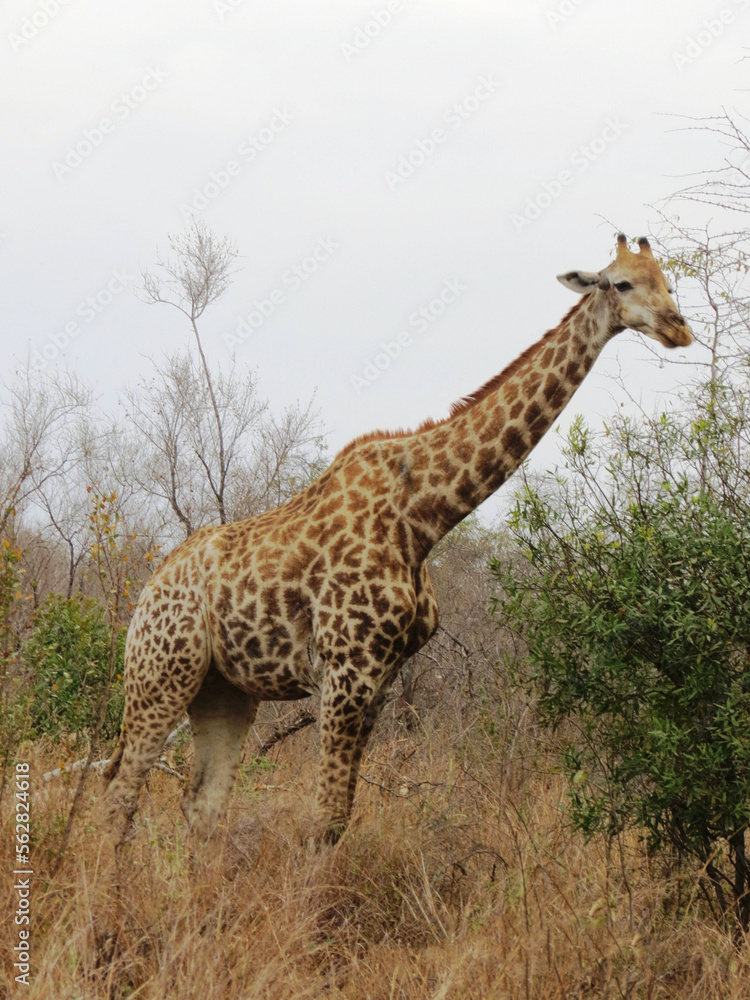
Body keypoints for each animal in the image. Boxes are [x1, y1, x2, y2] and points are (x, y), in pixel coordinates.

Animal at [103, 234, 691, 846]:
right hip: (160, 676)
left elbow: (340, 817)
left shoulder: (381, 677)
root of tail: (144, 595)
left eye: (669, 281)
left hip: (225, 690)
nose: (679, 330)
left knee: (200, 804)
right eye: (621, 282)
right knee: (120, 796)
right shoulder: (345, 669)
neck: (424, 517)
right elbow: (325, 817)